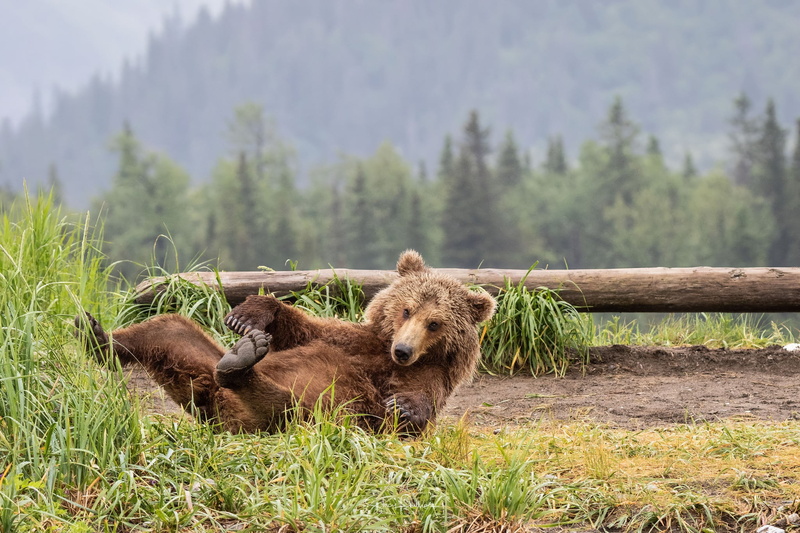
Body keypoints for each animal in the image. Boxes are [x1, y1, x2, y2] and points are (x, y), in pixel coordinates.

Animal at [75, 250, 496, 434]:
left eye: (435, 323)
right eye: (406, 310)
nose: (403, 350)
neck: (383, 353)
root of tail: (212, 404)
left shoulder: (425, 375)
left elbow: (408, 410)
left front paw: (405, 408)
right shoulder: (355, 340)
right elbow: (306, 331)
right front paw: (249, 315)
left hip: (309, 414)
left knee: (286, 407)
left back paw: (241, 367)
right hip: (195, 363)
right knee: (168, 329)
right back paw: (96, 335)